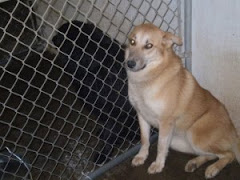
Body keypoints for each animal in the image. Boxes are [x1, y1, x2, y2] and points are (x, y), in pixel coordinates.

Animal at [125, 23, 240, 179]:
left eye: (149, 45)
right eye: (132, 42)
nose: (129, 63)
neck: (148, 79)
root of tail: (234, 131)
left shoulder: (165, 123)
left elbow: (160, 147)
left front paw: (158, 165)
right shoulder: (142, 115)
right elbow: (144, 140)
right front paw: (142, 156)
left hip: (195, 134)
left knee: (229, 155)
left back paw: (213, 168)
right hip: (178, 142)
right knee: (211, 155)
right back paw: (194, 163)